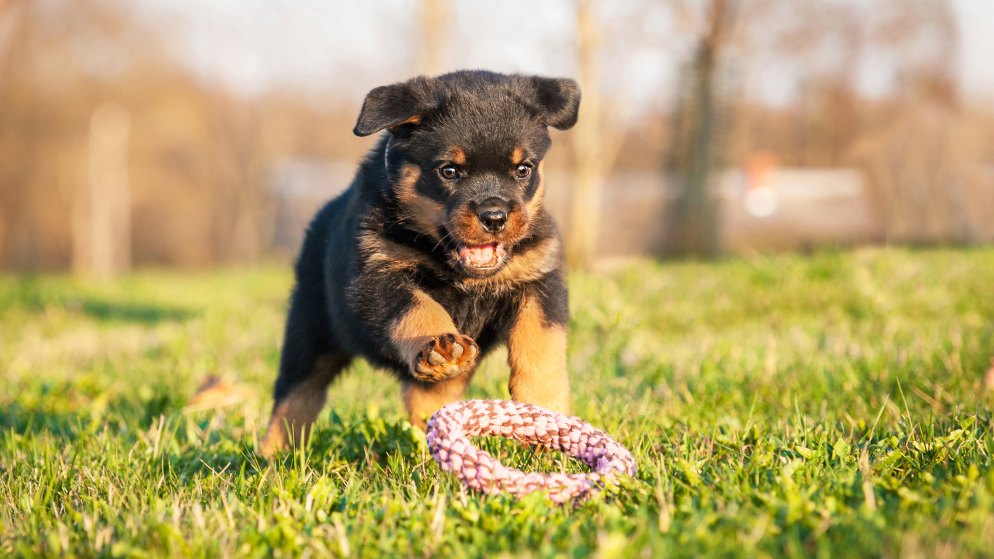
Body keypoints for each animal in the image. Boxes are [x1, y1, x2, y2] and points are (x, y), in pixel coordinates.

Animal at [260, 70, 576, 458]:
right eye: (449, 171)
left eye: (522, 169)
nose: (495, 216)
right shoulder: (375, 276)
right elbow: (416, 307)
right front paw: (439, 343)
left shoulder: (540, 278)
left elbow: (542, 342)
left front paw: (546, 409)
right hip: (309, 330)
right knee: (296, 394)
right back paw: (273, 455)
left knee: (432, 395)